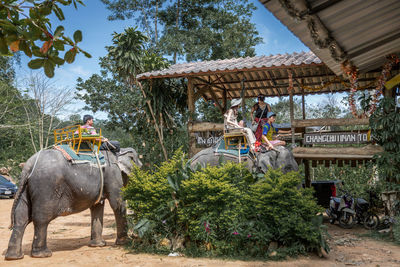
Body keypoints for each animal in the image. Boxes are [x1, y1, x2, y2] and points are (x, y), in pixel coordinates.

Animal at [4, 148, 141, 260]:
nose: (134, 236)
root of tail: (28, 166)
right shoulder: (113, 173)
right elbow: (117, 203)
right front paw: (123, 242)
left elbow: (97, 207)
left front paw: (98, 245)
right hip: (46, 187)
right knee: (41, 219)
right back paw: (43, 254)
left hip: (25, 188)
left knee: (21, 217)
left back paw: (14, 257)